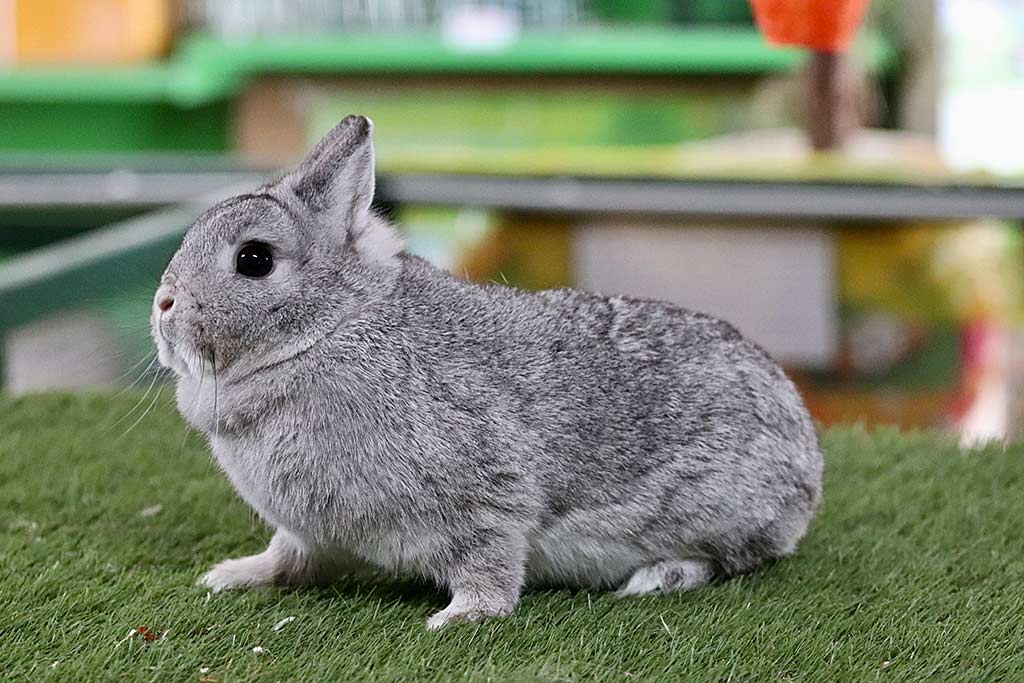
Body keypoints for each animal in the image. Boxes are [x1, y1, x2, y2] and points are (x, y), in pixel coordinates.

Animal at [152, 115, 823, 630]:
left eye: (254, 259)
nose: (163, 304)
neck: (328, 329)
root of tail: (807, 463)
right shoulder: (311, 534)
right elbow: (287, 559)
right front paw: (230, 576)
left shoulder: (484, 499)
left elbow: (490, 562)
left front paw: (462, 618)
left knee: (732, 558)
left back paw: (657, 578)